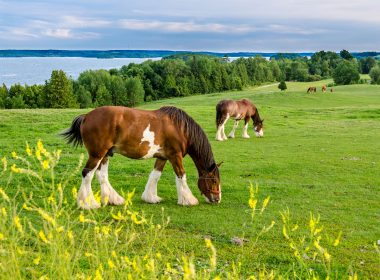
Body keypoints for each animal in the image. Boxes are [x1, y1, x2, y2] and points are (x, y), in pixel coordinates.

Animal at [62, 106, 221, 209]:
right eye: (213, 180)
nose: (217, 199)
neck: (180, 128)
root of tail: (86, 117)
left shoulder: (163, 157)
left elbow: (155, 175)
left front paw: (151, 197)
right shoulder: (175, 156)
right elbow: (181, 176)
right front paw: (188, 200)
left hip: (105, 154)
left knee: (101, 175)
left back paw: (113, 199)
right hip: (97, 154)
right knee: (87, 174)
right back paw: (88, 204)